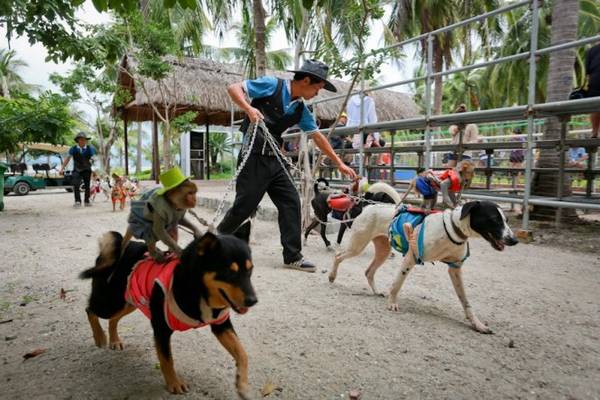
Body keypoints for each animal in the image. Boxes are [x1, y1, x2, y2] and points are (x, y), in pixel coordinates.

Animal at [79, 225, 255, 396]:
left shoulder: (221, 325)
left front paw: (242, 384)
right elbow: (167, 359)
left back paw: (114, 340)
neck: (197, 289)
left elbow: (243, 353)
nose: (253, 300)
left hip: (129, 302)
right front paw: (174, 383)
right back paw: (100, 337)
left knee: (113, 319)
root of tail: (119, 248)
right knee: (90, 310)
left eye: (250, 270)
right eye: (229, 272)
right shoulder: (161, 328)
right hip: (110, 303)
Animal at [330, 200, 516, 334]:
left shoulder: (455, 269)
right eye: (494, 219)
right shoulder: (411, 258)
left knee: (369, 271)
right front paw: (392, 303)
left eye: (506, 220)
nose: (514, 240)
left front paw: (477, 324)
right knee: (338, 256)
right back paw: (332, 277)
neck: (452, 229)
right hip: (357, 246)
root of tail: (368, 206)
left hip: (383, 251)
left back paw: (376, 292)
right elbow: (397, 284)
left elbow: (465, 301)